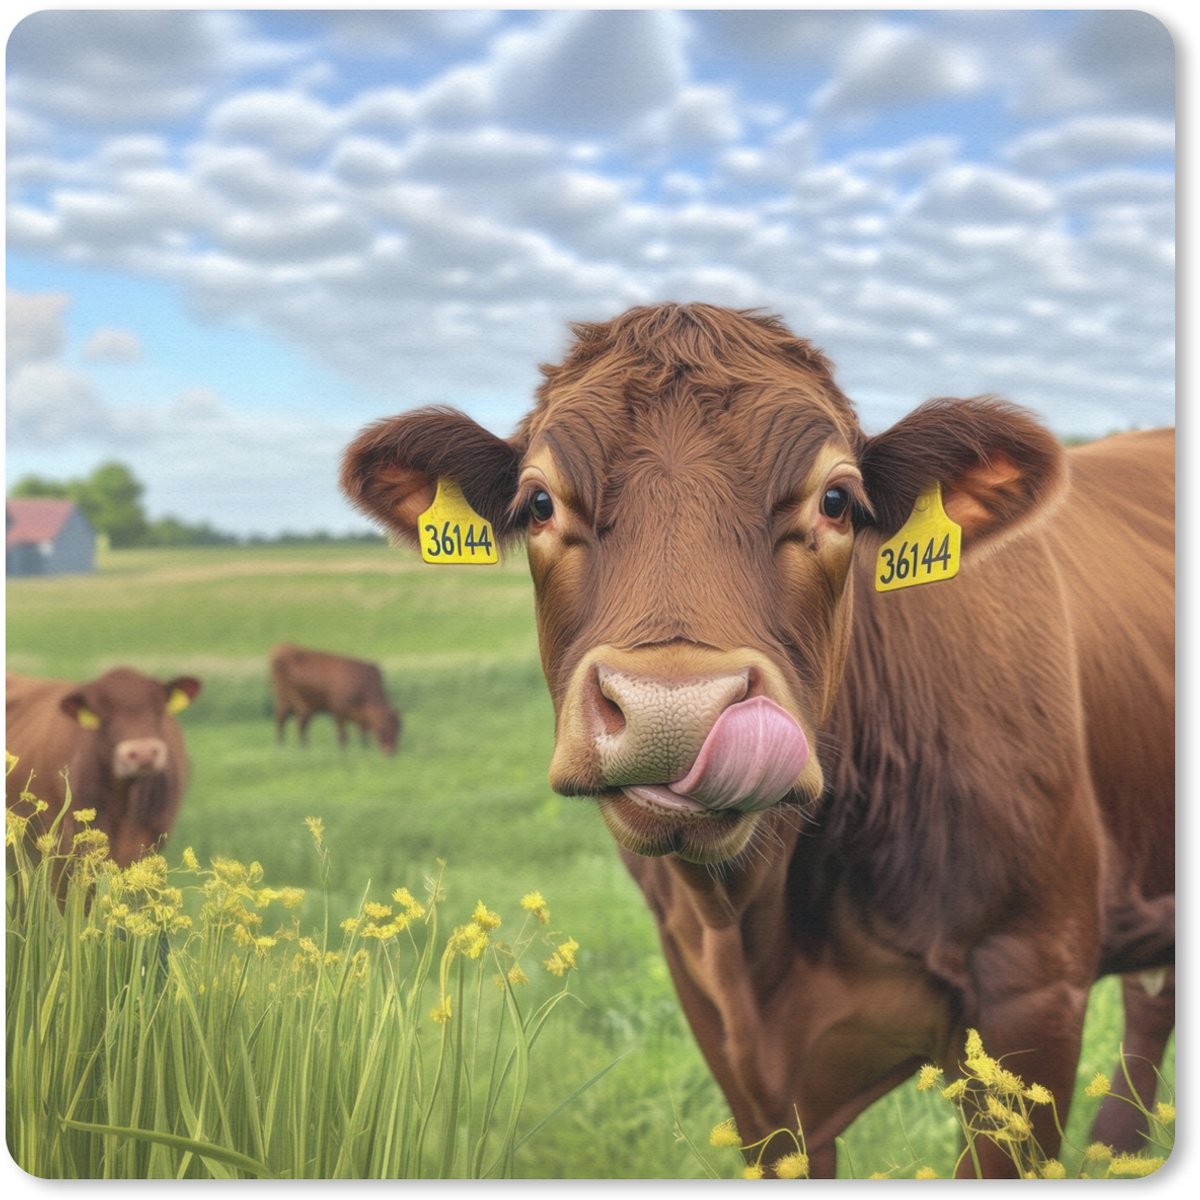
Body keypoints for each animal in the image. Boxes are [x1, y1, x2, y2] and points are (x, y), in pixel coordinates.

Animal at [270, 643, 401, 756]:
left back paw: (304, 747)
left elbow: (362, 733)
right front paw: (343, 752)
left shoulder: (361, 716)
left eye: (398, 729)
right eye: (382, 728)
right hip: (284, 701)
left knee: (301, 725)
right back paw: (280, 744)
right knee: (281, 720)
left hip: (305, 707)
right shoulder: (340, 712)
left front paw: (364, 748)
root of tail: (282, 647)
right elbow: (343, 736)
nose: (391, 752)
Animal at [339, 303, 1174, 1177]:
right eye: (538, 504)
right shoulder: (726, 1032)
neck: (761, 919)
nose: (674, 709)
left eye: (837, 500)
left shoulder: (1032, 989)